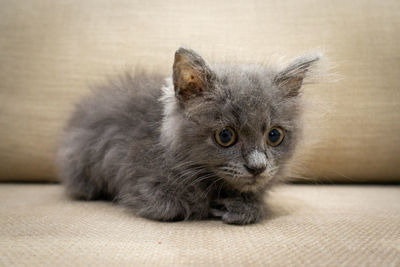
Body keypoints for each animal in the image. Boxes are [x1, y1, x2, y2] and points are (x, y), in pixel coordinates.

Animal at [57, 48, 322, 226]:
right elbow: (180, 205)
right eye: (225, 135)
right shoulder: (142, 182)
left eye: (274, 136)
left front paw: (243, 207)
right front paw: (218, 205)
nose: (257, 167)